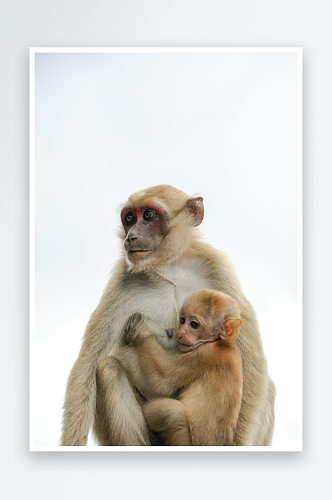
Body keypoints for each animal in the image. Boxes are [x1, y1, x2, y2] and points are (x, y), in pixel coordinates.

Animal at [120, 288, 243, 448]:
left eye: (194, 324)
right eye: (183, 320)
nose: (180, 333)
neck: (221, 342)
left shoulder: (205, 355)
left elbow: (162, 381)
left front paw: (140, 327)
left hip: (185, 441)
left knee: (173, 413)